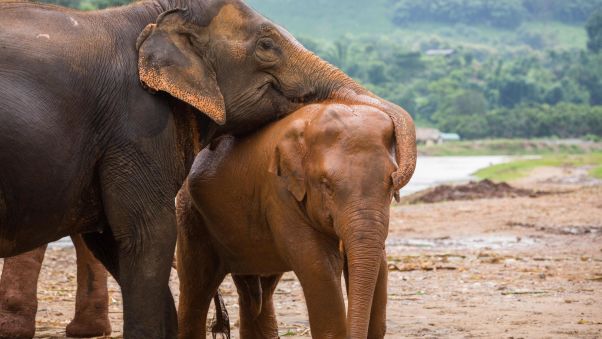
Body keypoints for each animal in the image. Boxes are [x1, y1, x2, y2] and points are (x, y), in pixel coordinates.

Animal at [176, 102, 414, 338]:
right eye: (326, 184)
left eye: (391, 182)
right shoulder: (279, 193)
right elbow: (319, 265)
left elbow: (380, 268)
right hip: (191, 217)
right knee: (196, 290)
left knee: (258, 292)